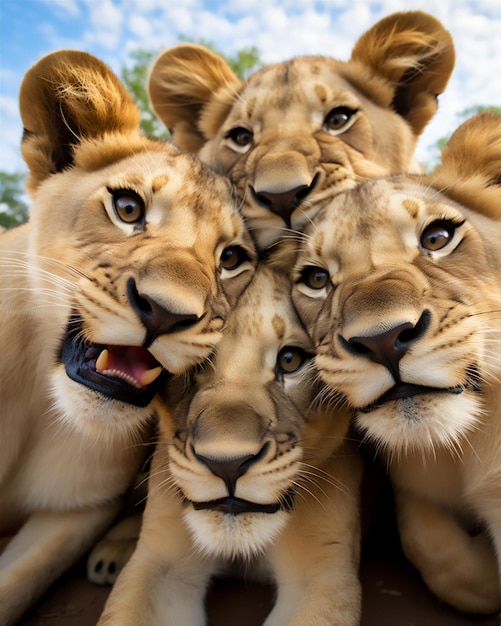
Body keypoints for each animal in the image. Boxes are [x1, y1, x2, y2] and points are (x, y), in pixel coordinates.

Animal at [292, 113, 500, 616]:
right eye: (316, 279)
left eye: (437, 238)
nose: (381, 340)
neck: (465, 451)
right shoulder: (410, 488)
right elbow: (432, 551)